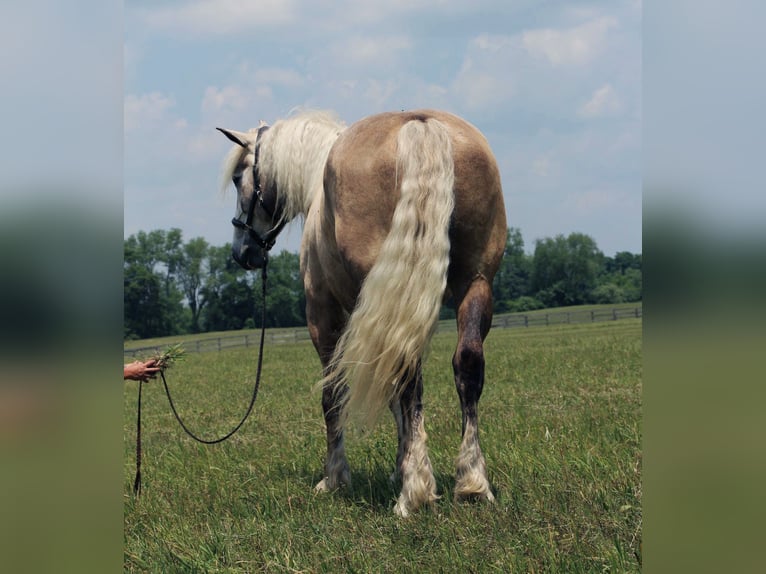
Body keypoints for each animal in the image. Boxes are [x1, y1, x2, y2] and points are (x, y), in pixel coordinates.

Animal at [219, 110, 508, 520]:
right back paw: (471, 483)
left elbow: (333, 394)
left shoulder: (322, 311)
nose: (243, 252)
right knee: (465, 364)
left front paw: (336, 476)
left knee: (407, 373)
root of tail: (421, 124)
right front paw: (402, 465)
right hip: (475, 281)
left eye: (238, 177)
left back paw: (413, 493)